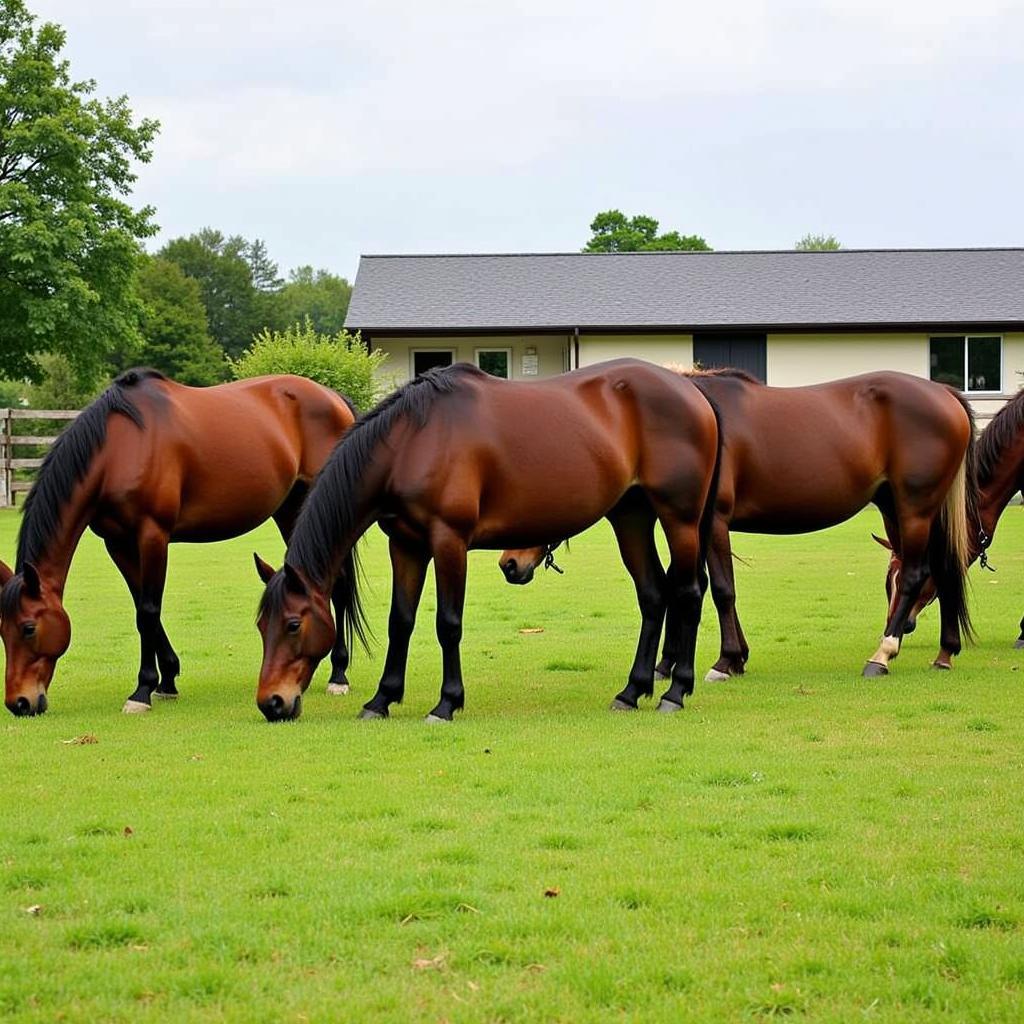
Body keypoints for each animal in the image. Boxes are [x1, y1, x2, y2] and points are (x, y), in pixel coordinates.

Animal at [1, 366, 356, 712]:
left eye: (28, 628)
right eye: (2, 630)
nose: (20, 703)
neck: (120, 447)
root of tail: (333, 397)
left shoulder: (152, 536)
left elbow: (148, 611)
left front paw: (142, 691)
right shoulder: (118, 544)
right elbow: (141, 607)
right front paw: (167, 680)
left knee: (338, 585)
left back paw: (339, 675)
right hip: (291, 508)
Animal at [253, 358, 720, 720]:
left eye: (293, 623)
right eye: (261, 625)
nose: (272, 703)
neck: (413, 441)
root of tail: (691, 391)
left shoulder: (449, 542)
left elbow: (448, 623)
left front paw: (446, 703)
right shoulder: (405, 545)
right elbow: (400, 621)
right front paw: (381, 699)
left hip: (679, 519)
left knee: (689, 594)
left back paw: (675, 692)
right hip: (631, 516)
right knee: (653, 595)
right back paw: (631, 691)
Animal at [501, 368, 974, 679]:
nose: (509, 563)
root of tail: (944, 392)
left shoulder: (712, 522)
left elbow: (720, 590)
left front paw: (726, 660)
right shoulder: (688, 524)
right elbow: (685, 584)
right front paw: (672, 663)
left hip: (914, 508)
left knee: (914, 574)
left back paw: (882, 654)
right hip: (900, 509)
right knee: (942, 570)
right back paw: (943, 652)